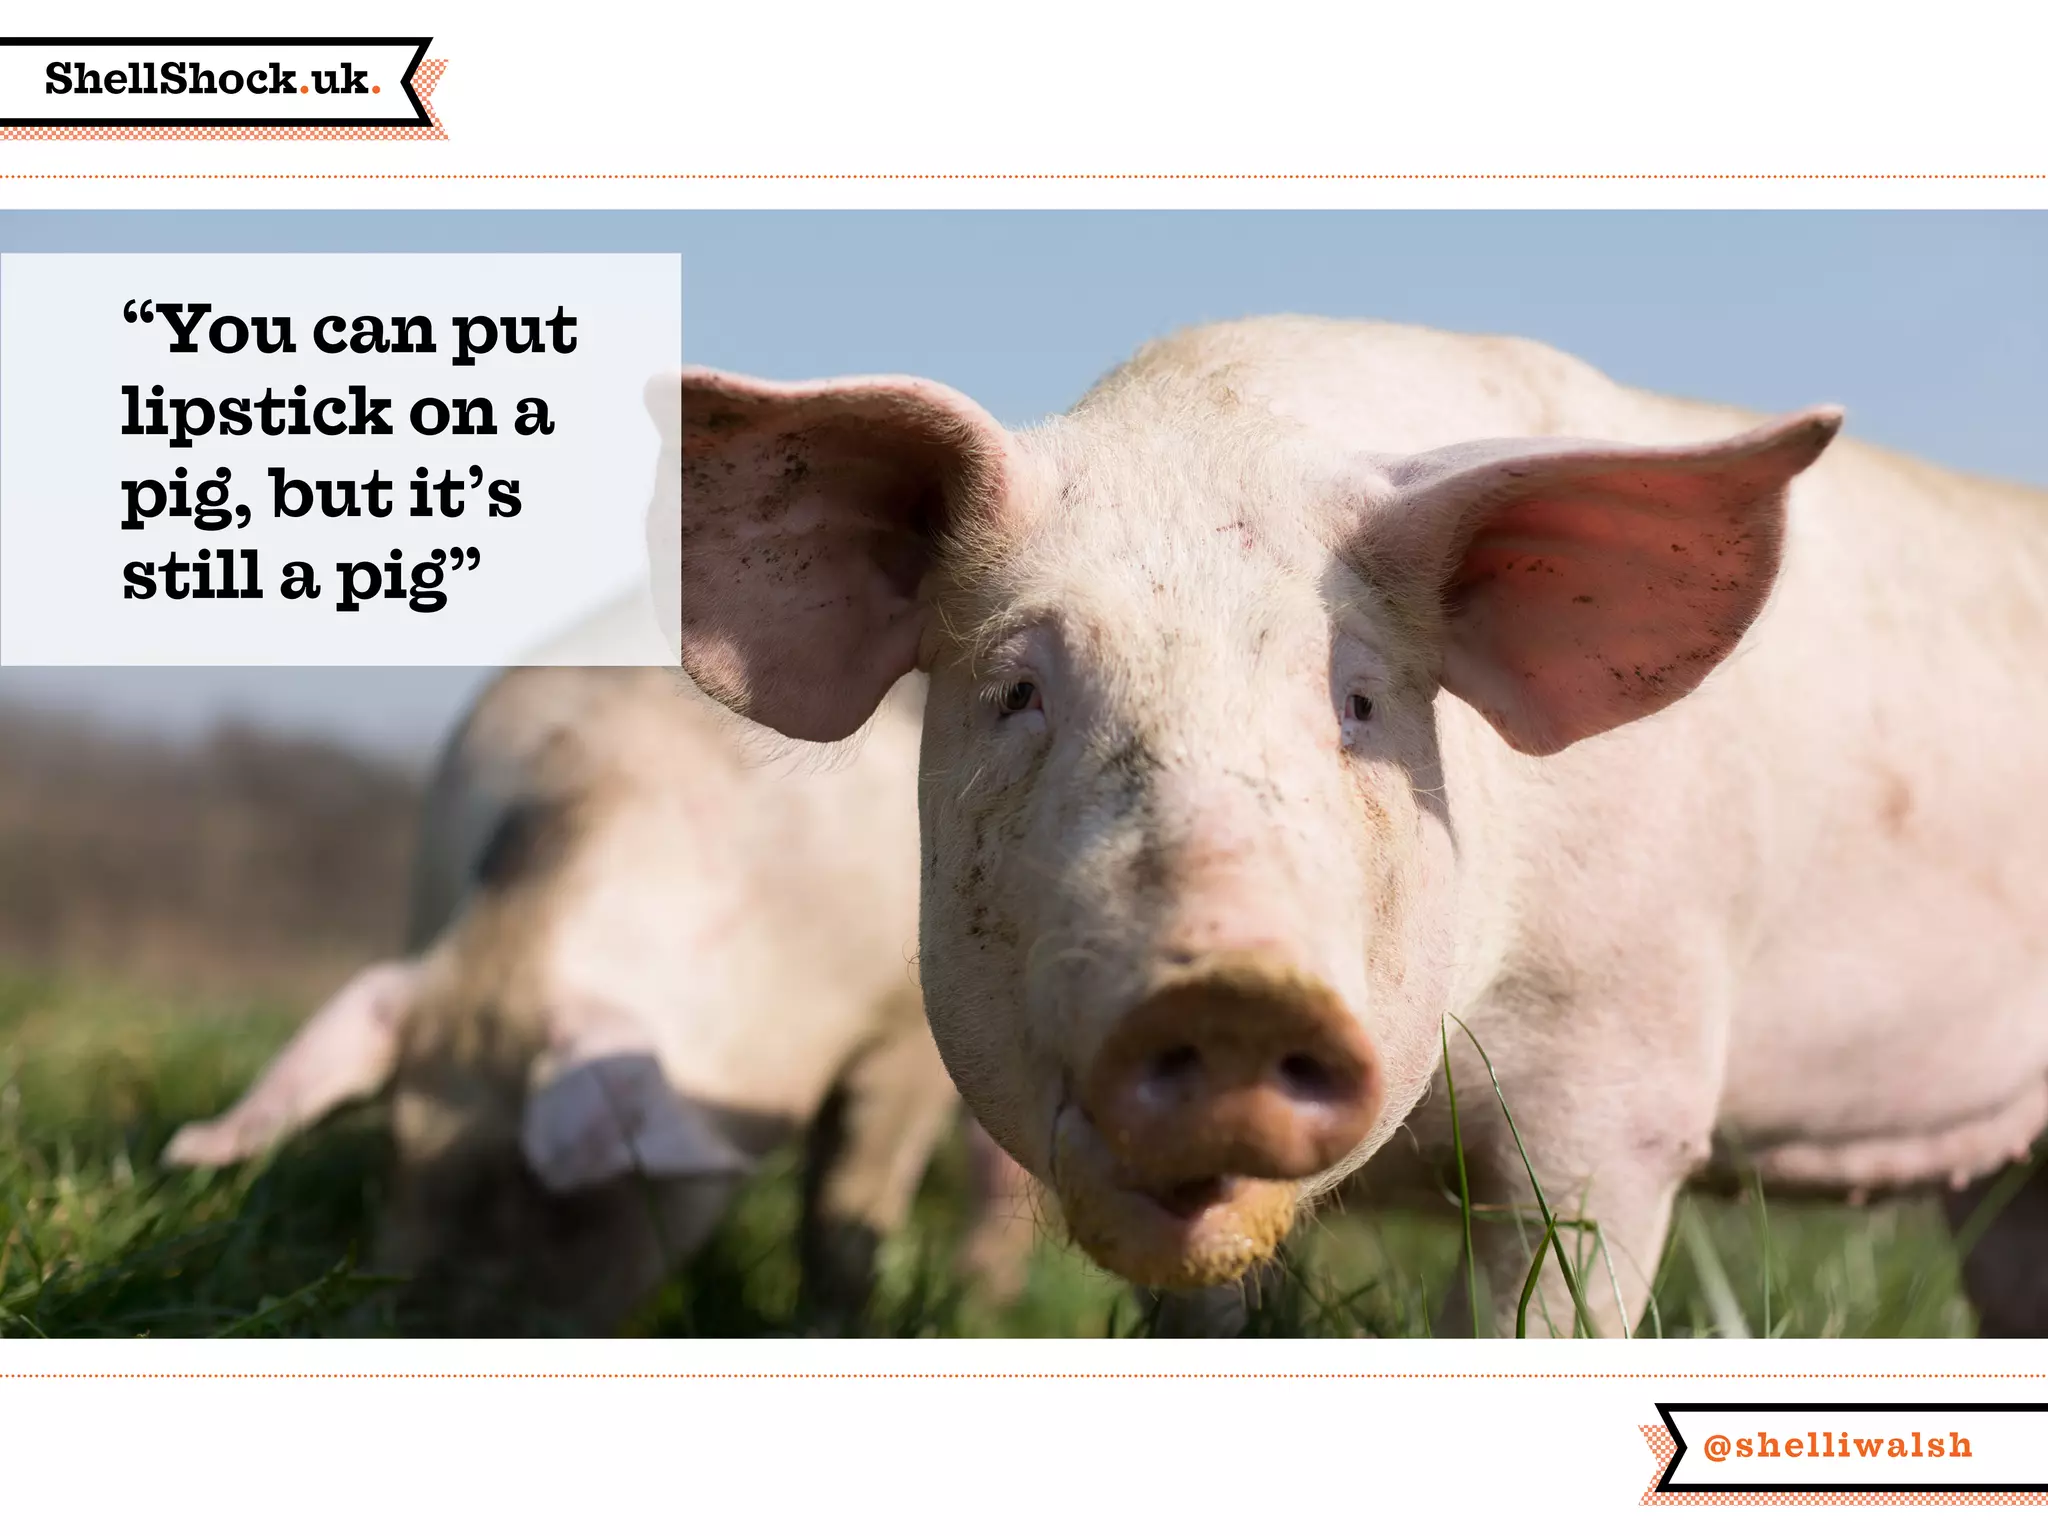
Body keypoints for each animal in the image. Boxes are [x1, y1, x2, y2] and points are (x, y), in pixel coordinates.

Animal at [165, 663, 1037, 1333]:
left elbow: (847, 1204)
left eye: (560, 1195)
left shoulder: (902, 1026)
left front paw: (832, 1325)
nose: (412, 1322)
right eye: (396, 1146)